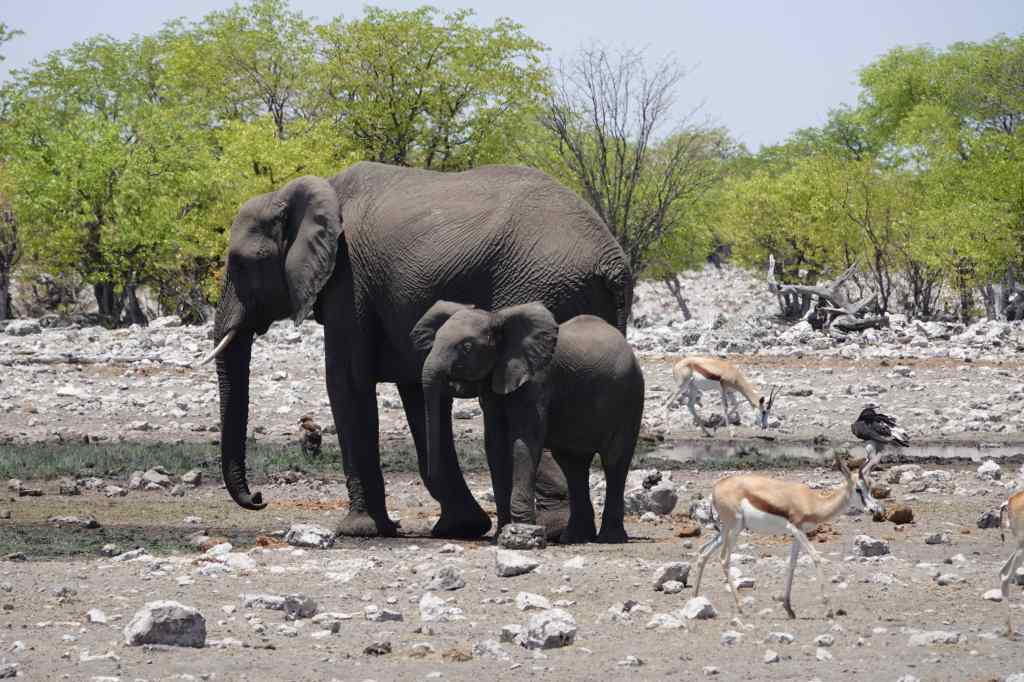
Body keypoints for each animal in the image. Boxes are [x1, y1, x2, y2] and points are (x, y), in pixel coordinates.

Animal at [411, 301, 645, 543]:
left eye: (466, 346)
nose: (431, 475)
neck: (497, 319)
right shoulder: (494, 383)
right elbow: (495, 446)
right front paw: (501, 535)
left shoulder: (536, 382)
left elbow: (524, 441)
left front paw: (522, 530)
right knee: (573, 465)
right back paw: (574, 538)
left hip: (629, 397)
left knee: (615, 460)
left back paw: (610, 538)